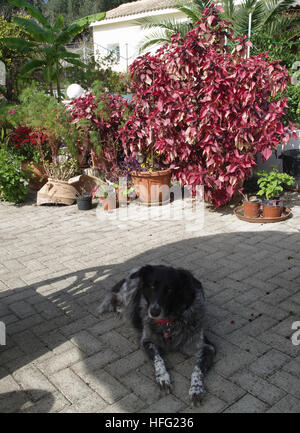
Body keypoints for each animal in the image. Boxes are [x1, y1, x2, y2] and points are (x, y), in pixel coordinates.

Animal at [98, 264, 216, 404]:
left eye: (170, 290)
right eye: (152, 286)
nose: (154, 312)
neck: (169, 321)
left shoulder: (207, 347)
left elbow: (198, 369)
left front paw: (196, 388)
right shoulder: (147, 341)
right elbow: (158, 359)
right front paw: (163, 378)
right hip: (129, 291)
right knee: (115, 299)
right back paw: (120, 310)